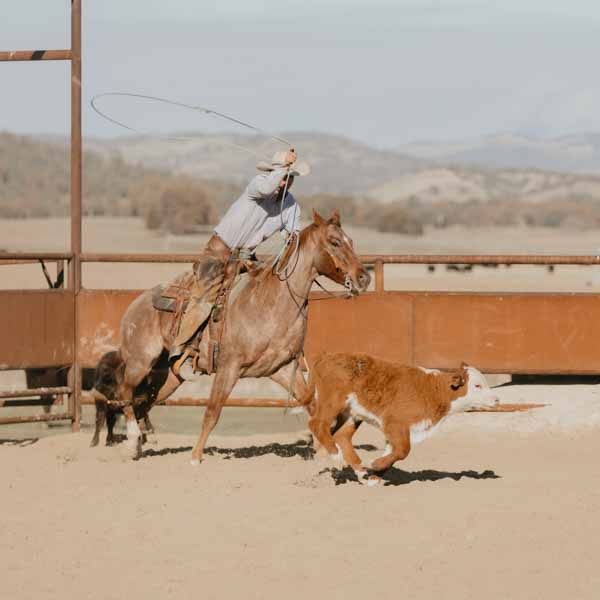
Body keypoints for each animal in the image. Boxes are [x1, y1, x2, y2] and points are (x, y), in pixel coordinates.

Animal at [116, 211, 370, 464]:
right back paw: (132, 438)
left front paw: (327, 452)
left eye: (351, 241)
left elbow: (312, 404)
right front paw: (196, 456)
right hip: (140, 363)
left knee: (146, 402)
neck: (270, 302)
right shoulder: (229, 367)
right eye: (335, 242)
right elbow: (213, 411)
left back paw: (139, 445)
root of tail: (137, 303)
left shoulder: (284, 368)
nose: (364, 278)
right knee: (125, 392)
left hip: (169, 376)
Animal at [302, 352, 500, 482]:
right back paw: (336, 456)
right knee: (317, 424)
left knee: (341, 435)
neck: (433, 390)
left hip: (352, 413)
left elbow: (394, 452)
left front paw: (375, 473)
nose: (496, 399)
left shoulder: (397, 429)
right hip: (333, 401)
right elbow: (403, 450)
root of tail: (325, 358)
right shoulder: (396, 422)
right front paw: (375, 465)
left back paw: (361, 472)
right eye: (477, 385)